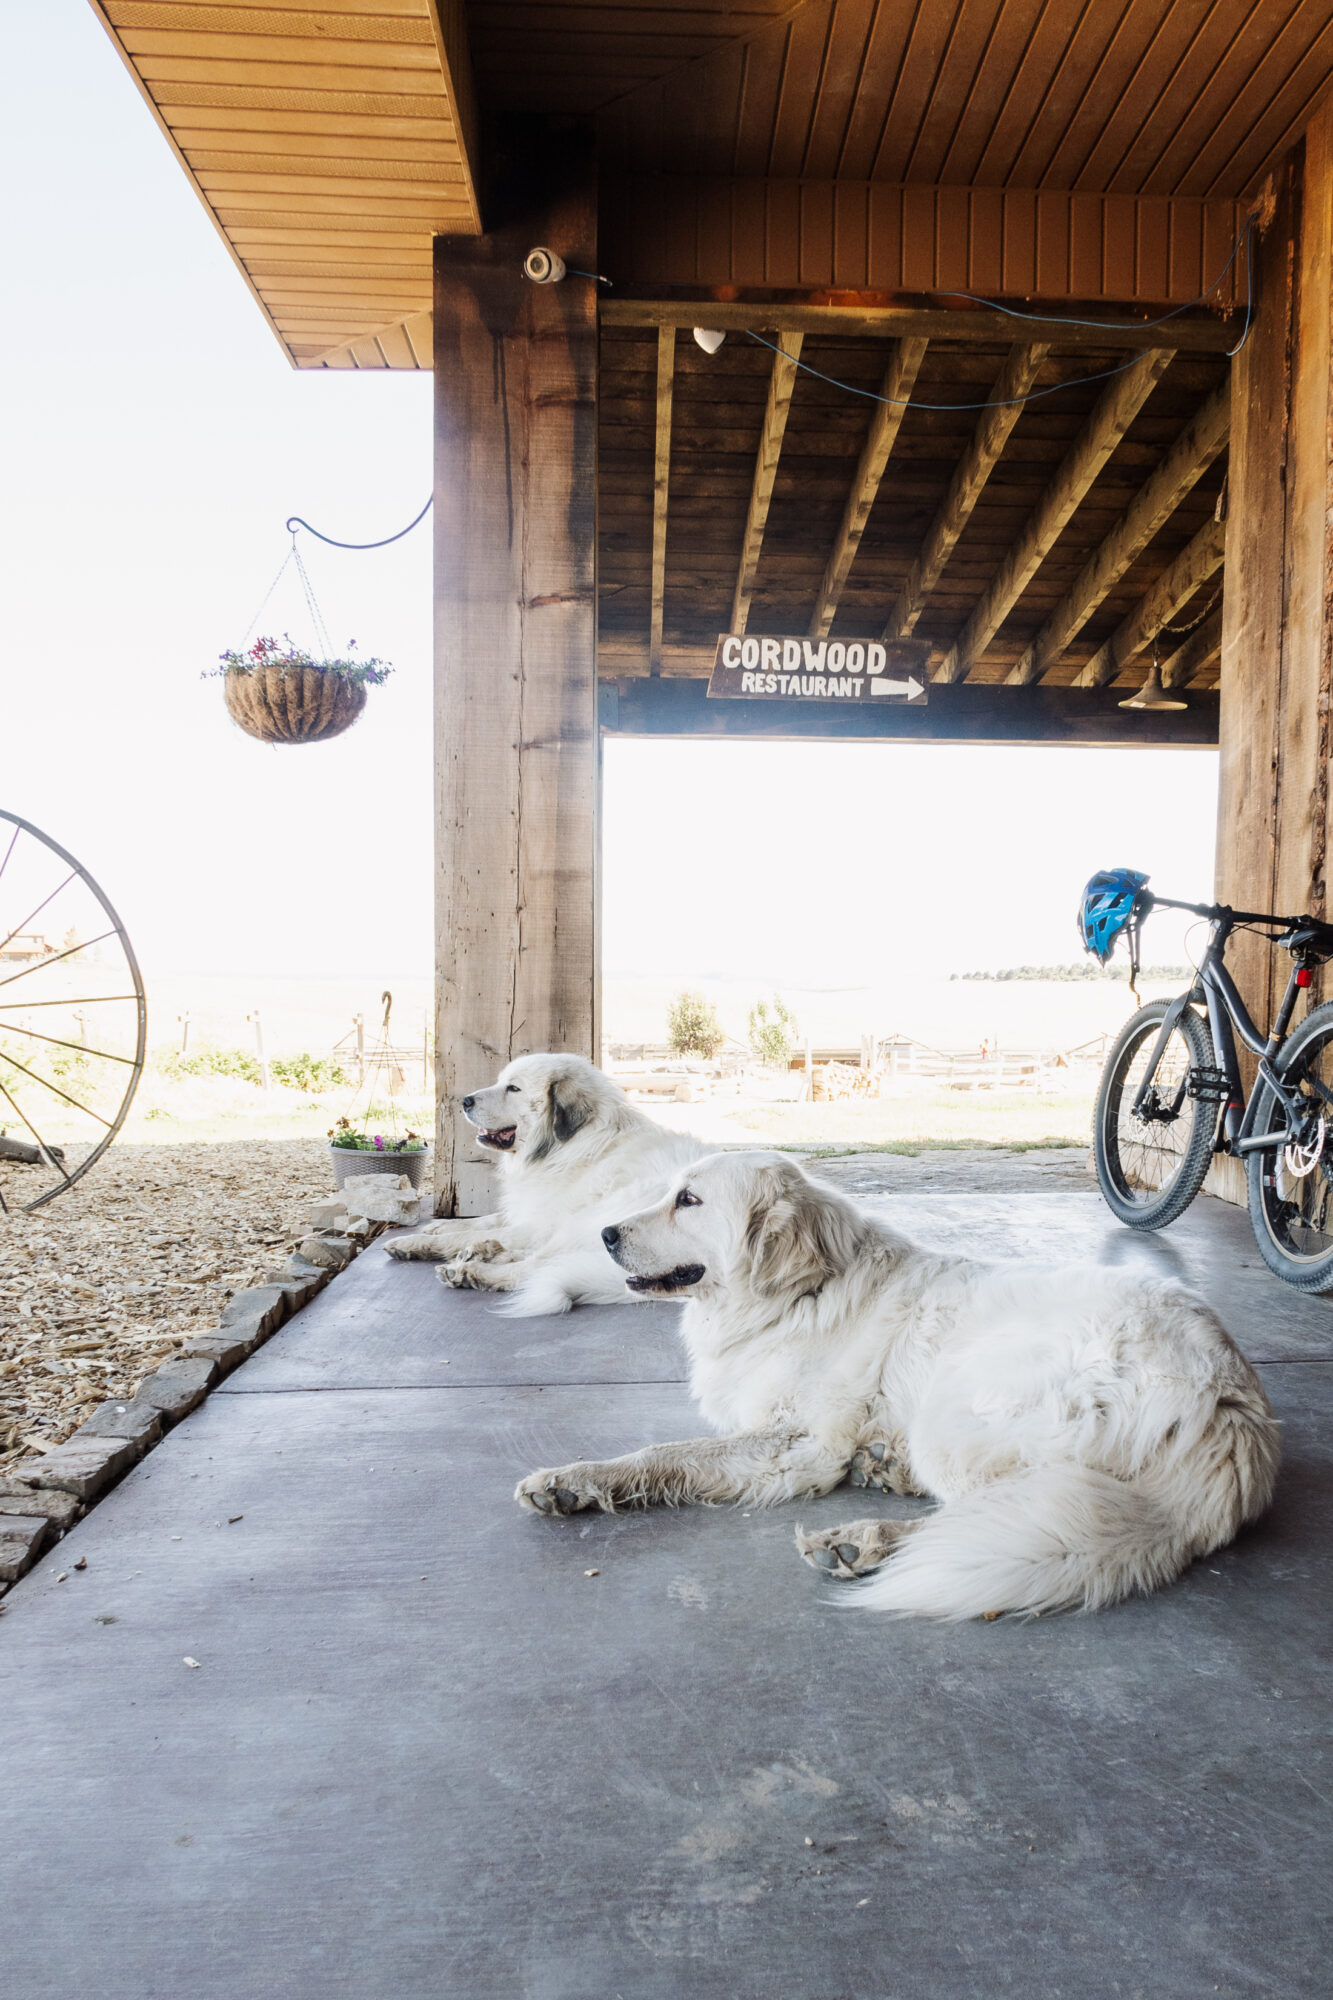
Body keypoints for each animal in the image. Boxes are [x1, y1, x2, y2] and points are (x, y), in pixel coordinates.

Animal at [384, 1056, 704, 1320]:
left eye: (513, 1088)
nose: (465, 1101)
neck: (576, 1144)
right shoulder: (530, 1210)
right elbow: (484, 1221)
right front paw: (439, 1227)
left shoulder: (541, 1224)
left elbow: (471, 1234)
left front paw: (412, 1243)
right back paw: (486, 1251)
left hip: (595, 1220)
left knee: (534, 1267)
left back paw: (471, 1271)